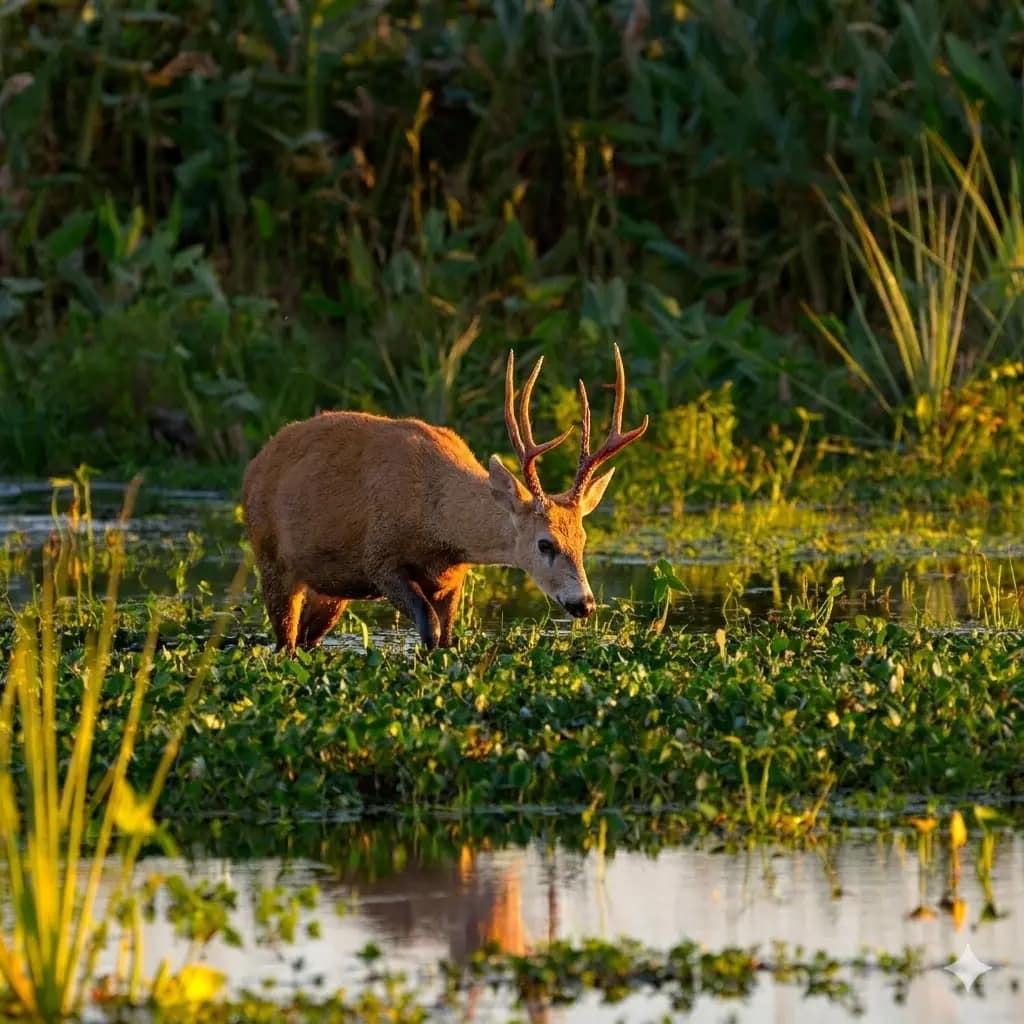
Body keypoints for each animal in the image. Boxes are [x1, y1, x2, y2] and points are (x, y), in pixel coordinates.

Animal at [241, 345, 648, 652]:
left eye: (582, 540)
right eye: (544, 543)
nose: (585, 603)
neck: (439, 521)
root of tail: (255, 464)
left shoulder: (453, 578)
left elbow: (448, 638)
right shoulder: (379, 559)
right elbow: (430, 629)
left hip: (329, 589)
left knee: (305, 641)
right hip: (271, 557)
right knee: (284, 642)